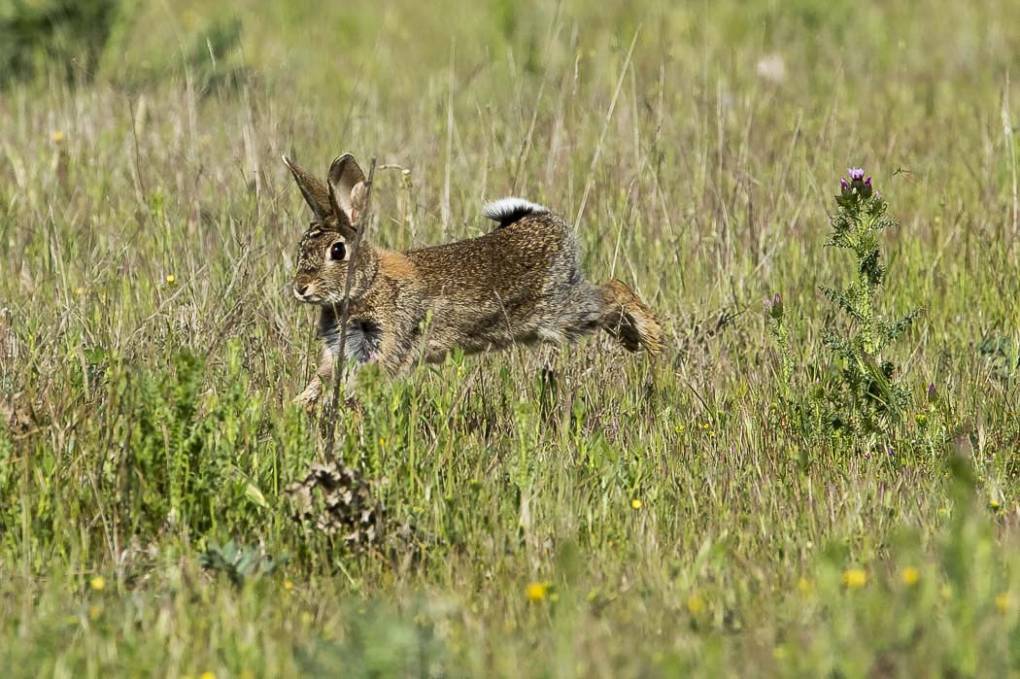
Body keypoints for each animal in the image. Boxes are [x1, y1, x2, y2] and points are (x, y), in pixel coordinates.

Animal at [281, 151, 660, 407]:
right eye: (302, 246)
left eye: (337, 251)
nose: (300, 288)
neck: (368, 283)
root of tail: (543, 221)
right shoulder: (339, 351)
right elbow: (322, 378)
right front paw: (298, 408)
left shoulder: (388, 341)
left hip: (558, 311)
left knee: (615, 291)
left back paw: (654, 343)